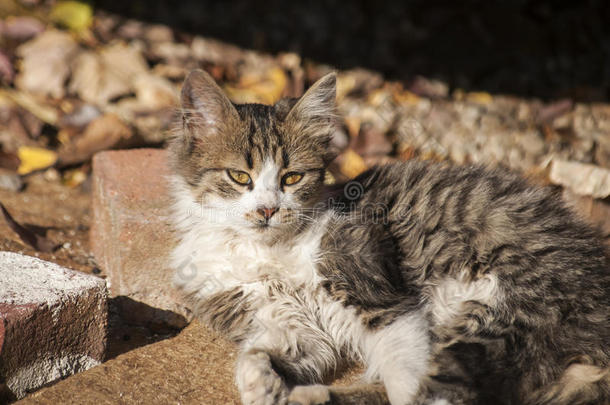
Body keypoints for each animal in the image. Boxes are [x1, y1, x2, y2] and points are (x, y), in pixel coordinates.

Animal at [166, 70, 608, 404]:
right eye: (240, 176)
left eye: (291, 178)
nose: (267, 210)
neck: (267, 251)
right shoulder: (290, 327)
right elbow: (256, 353)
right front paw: (262, 386)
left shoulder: (383, 299)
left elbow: (403, 377)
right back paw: (309, 397)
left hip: (494, 313)